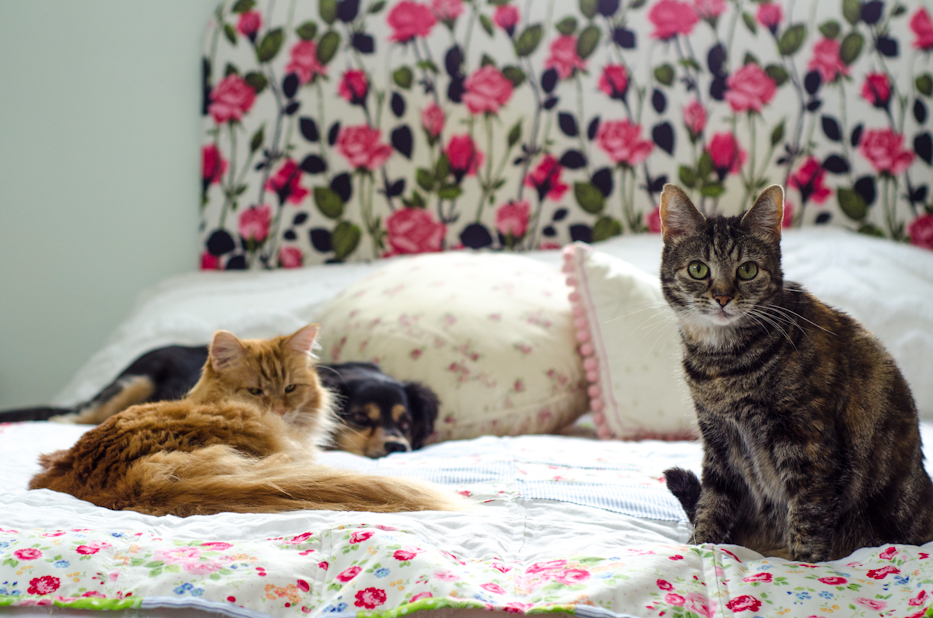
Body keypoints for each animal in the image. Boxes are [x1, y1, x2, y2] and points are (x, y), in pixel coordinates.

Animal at [656, 182, 932, 560]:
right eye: (698, 269)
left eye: (747, 270)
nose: (723, 297)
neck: (722, 363)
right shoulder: (717, 439)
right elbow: (712, 503)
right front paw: (701, 548)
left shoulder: (807, 443)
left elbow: (808, 514)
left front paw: (806, 563)